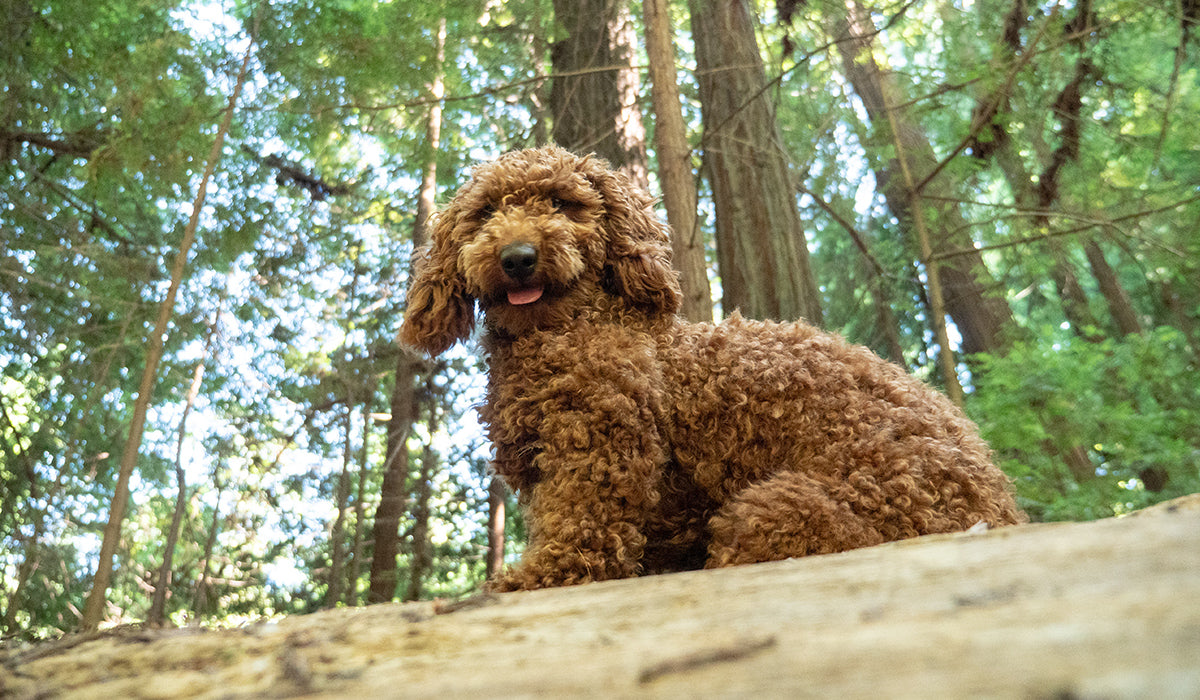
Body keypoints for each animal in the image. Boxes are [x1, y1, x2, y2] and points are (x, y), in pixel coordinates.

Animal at [400, 144, 1022, 590]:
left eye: (560, 203)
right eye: (485, 214)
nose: (517, 257)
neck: (566, 329)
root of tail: (1004, 505)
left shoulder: (600, 444)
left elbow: (583, 529)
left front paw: (537, 577)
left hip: (790, 510)